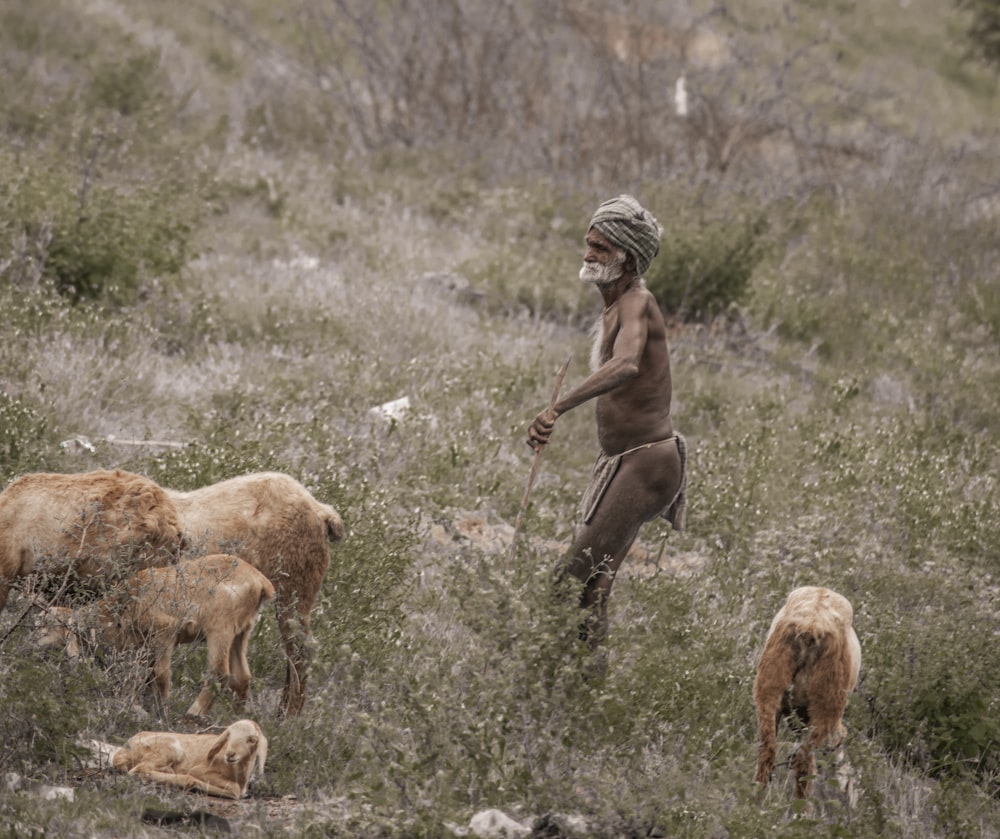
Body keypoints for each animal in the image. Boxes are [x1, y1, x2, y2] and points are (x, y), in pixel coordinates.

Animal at [33, 556, 276, 720]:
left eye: (47, 624)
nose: (32, 644)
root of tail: (261, 582)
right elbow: (150, 675)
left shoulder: (164, 631)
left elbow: (161, 674)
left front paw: (162, 711)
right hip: (242, 631)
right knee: (242, 676)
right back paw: (236, 720)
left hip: (220, 628)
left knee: (219, 673)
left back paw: (194, 714)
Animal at [112, 716, 268, 800]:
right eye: (229, 735)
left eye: (251, 740)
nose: (230, 754)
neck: (237, 773)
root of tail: (128, 747)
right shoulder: (199, 770)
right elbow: (235, 790)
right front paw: (196, 784)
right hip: (171, 749)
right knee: (140, 770)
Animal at [752, 584, 864, 800]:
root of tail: (812, 625)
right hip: (826, 704)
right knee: (804, 760)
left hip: (768, 689)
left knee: (767, 750)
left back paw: (757, 798)